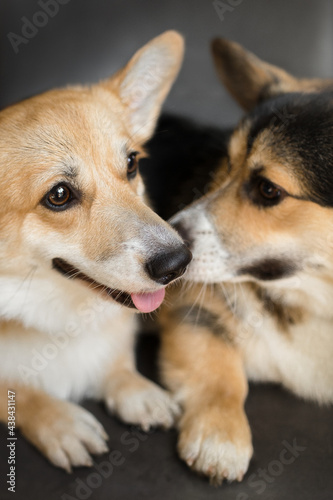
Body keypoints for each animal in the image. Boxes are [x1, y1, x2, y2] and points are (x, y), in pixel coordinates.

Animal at [0, 32, 192, 472]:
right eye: (58, 195)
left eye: (132, 163)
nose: (178, 263)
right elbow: (19, 391)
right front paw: (62, 423)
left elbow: (116, 363)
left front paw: (137, 391)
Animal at [156, 39, 333, 484]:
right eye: (227, 164)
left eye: (268, 189)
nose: (170, 257)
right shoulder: (195, 309)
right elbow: (222, 375)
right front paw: (220, 438)